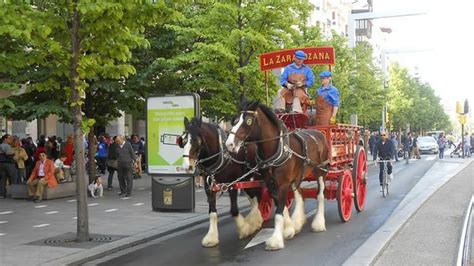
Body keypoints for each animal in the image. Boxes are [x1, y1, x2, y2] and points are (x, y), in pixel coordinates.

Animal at [181, 118, 264, 247]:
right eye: (183, 140)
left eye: (195, 140)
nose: (187, 167)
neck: (221, 155)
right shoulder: (209, 187)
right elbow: (212, 212)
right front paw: (211, 237)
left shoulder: (232, 184)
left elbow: (234, 210)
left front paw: (244, 229)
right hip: (247, 179)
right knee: (254, 197)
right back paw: (255, 220)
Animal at [226, 98, 330, 251]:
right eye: (234, 120)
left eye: (249, 121)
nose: (229, 144)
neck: (276, 149)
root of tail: (319, 133)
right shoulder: (271, 183)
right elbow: (280, 205)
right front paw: (289, 229)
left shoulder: (283, 183)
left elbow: (279, 210)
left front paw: (276, 239)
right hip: (298, 174)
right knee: (299, 194)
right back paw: (298, 221)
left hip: (320, 171)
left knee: (320, 194)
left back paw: (318, 223)